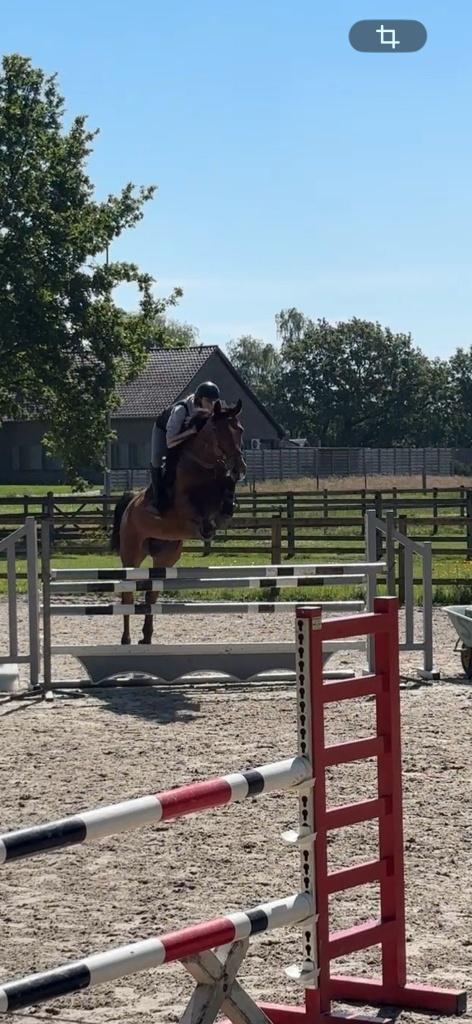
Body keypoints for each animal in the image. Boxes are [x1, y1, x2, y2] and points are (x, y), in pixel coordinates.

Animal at [110, 399, 246, 645]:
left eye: (239, 429)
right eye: (217, 430)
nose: (240, 467)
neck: (203, 465)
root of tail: (130, 503)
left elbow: (225, 493)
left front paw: (226, 502)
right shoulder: (182, 507)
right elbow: (197, 511)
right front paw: (207, 528)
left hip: (166, 556)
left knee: (151, 594)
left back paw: (146, 636)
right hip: (131, 552)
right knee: (127, 594)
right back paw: (126, 639)